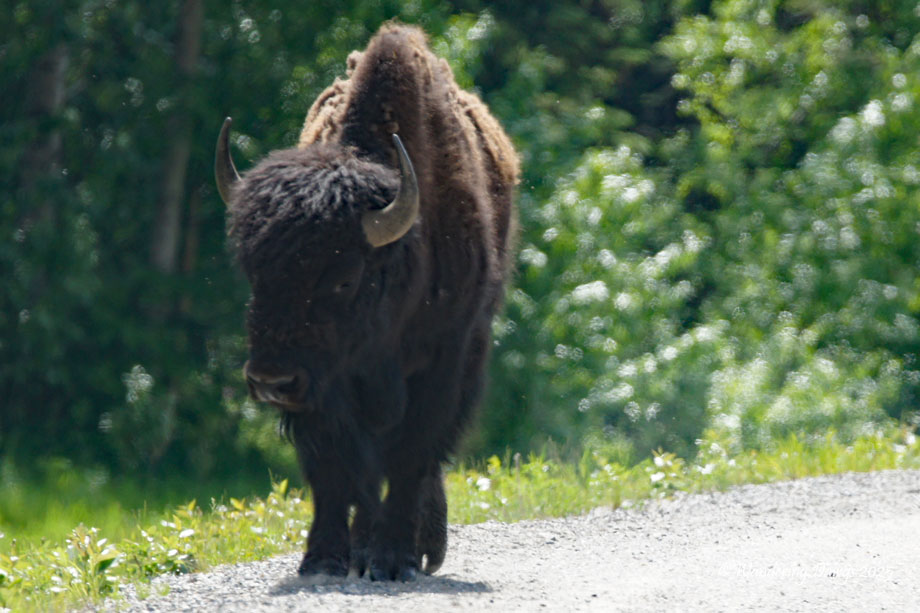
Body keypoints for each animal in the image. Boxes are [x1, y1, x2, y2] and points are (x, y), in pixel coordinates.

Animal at [215, 24, 519, 581]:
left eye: (344, 278)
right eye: (253, 270)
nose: (271, 380)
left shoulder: (444, 361)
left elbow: (411, 455)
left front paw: (394, 558)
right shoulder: (324, 384)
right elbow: (335, 464)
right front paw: (324, 557)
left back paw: (421, 547)